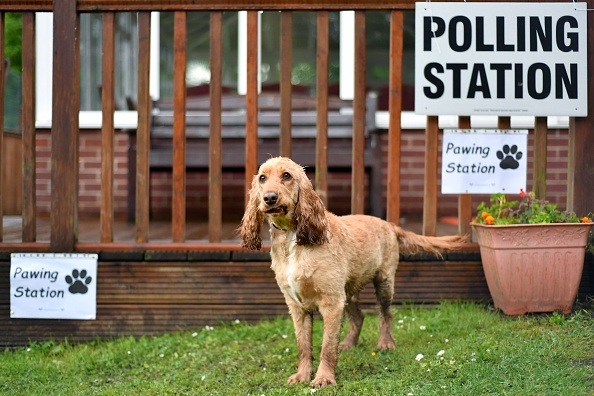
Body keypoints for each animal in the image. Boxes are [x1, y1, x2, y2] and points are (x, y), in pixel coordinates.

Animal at [238, 158, 464, 386]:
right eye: (262, 178)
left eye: (286, 175)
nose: (269, 198)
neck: (293, 236)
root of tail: (389, 224)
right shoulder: (297, 305)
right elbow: (304, 347)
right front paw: (302, 375)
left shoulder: (331, 302)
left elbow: (327, 347)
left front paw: (324, 378)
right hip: (348, 292)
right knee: (359, 317)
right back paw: (348, 344)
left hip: (383, 283)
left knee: (386, 314)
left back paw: (386, 343)